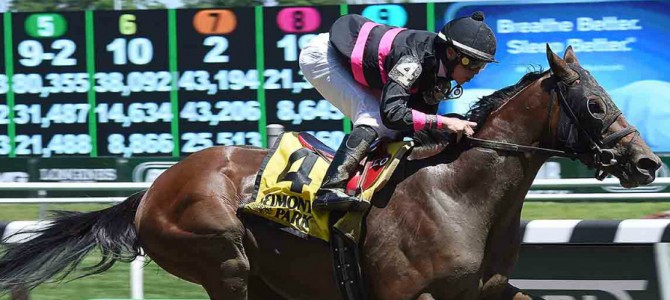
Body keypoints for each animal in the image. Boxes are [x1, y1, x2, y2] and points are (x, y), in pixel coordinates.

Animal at [0, 45, 660, 298]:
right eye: (594, 104)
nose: (648, 162)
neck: (460, 195)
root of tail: (149, 192)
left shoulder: (488, 292)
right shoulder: (406, 295)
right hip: (224, 263)